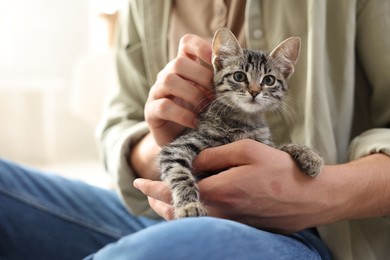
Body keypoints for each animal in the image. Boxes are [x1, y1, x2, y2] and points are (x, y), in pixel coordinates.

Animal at [157, 27, 322, 218]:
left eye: (269, 80)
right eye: (239, 76)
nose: (254, 92)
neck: (244, 121)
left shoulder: (263, 145)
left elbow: (279, 148)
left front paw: (310, 155)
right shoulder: (177, 148)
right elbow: (180, 174)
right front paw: (188, 206)